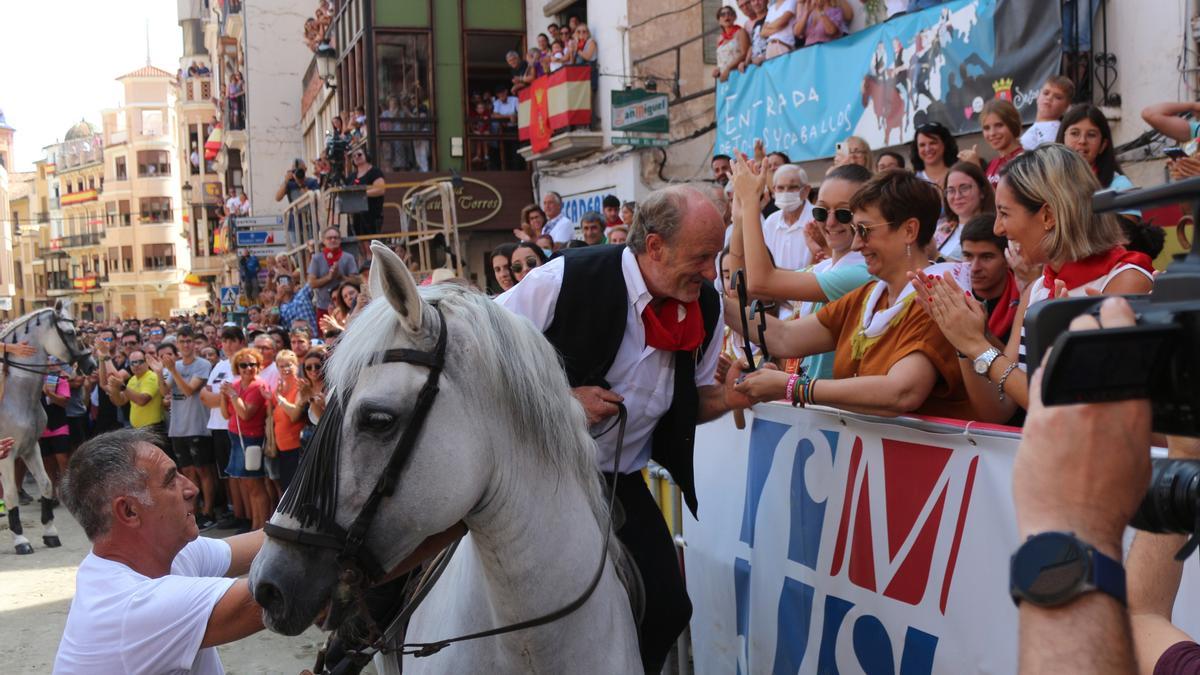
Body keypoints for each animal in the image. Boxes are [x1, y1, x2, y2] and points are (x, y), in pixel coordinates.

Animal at [0, 300, 96, 552]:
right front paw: (20, 539)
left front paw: (50, 532)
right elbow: (11, 493)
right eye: (71, 332)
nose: (91, 365)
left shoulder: (30, 447)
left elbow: (45, 484)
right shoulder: (7, 453)